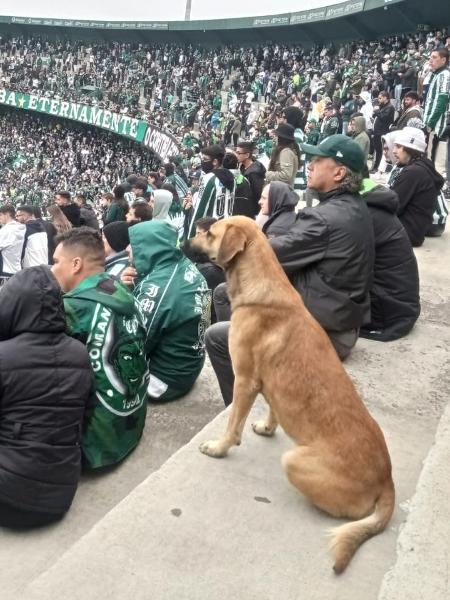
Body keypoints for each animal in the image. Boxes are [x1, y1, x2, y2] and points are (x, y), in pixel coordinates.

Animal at [190, 214, 394, 572]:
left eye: (210, 233)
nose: (184, 241)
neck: (260, 286)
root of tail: (387, 478)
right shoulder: (269, 380)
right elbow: (273, 406)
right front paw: (268, 427)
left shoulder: (245, 379)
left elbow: (232, 426)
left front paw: (219, 448)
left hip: (295, 461)